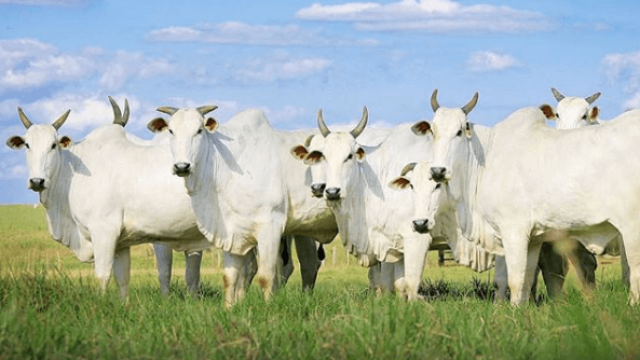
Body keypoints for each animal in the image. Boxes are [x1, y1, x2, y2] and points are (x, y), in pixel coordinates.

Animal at [147, 107, 340, 306]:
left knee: (307, 264)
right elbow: (229, 276)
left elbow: (266, 275)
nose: (182, 167)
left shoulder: (270, 226)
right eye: (171, 131)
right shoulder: (230, 230)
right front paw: (229, 306)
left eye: (199, 130)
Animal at [296, 107, 496, 300]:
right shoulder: (393, 243)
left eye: (349, 156)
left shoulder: (415, 236)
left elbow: (408, 283)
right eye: (323, 157)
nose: (331, 191)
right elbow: (396, 284)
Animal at [410, 89, 640, 304]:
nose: (438, 171)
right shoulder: (534, 239)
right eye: (433, 131)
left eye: (459, 131)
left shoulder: (514, 230)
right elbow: (526, 281)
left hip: (631, 227)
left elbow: (515, 280)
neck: (487, 155)